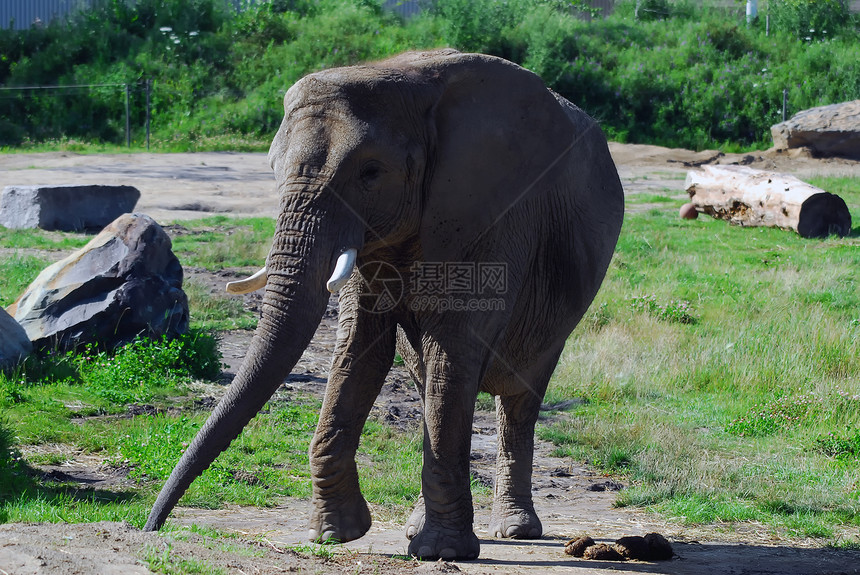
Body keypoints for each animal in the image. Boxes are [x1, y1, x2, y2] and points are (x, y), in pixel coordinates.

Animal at [143, 49, 624, 564]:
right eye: (273, 168)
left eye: (370, 173)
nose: (152, 526)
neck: (403, 79)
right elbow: (361, 347)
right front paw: (335, 535)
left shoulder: (490, 215)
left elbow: (451, 349)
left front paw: (440, 551)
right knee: (426, 378)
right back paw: (421, 525)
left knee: (517, 395)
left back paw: (514, 530)